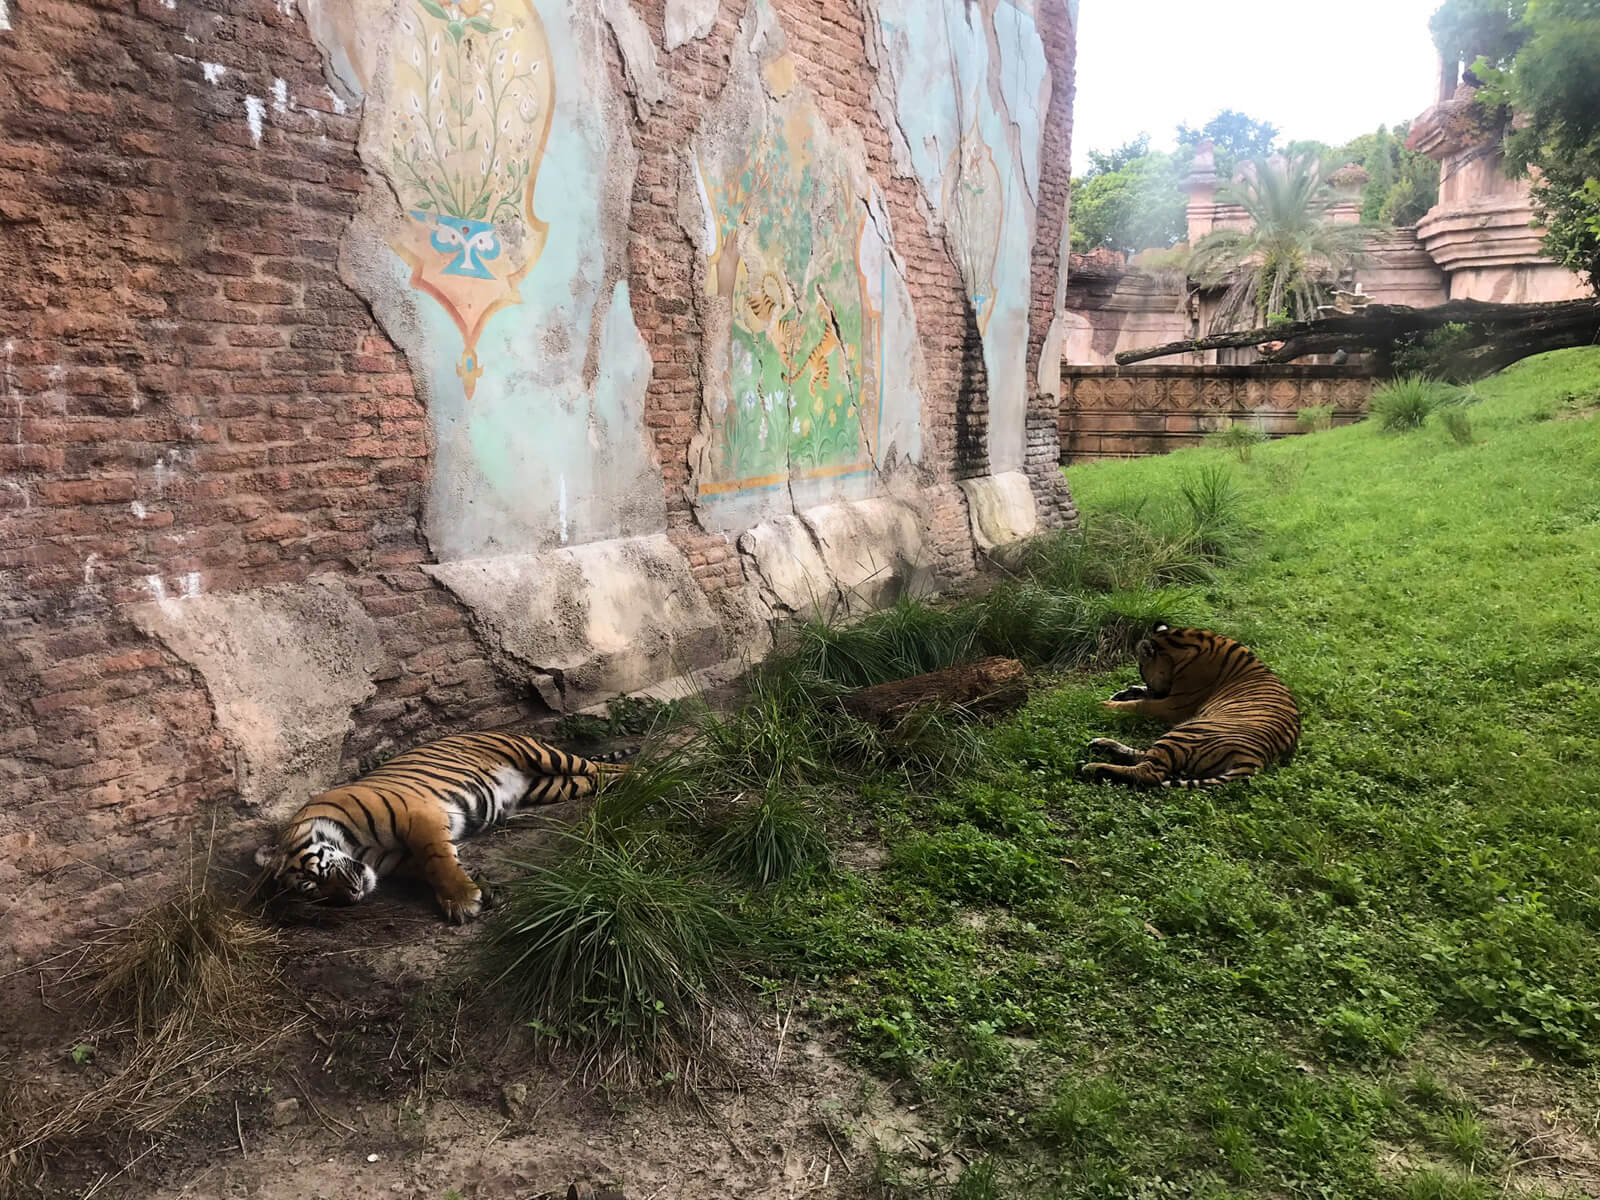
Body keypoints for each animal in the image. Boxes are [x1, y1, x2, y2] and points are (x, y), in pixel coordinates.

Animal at [252, 729, 627, 928]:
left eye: (315, 876)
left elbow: (438, 860)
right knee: (596, 777)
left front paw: (461, 900)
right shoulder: (401, 860)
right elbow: (439, 866)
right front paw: (483, 886)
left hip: (540, 755)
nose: (353, 895)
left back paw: (639, 772)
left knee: (596, 765)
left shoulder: (419, 816)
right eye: (316, 893)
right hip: (552, 786)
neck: (359, 850)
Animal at [1088, 624, 1299, 793]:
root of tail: (1254, 759)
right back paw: (1100, 744)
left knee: (1149, 772)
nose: (1153, 689)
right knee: (1144, 756)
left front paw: (1103, 705)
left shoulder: (1172, 705)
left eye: (1142, 670)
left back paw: (1093, 768)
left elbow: (1140, 704)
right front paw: (1122, 693)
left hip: (1188, 731)